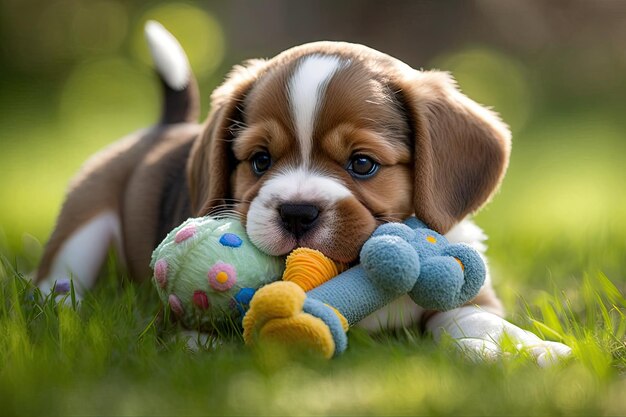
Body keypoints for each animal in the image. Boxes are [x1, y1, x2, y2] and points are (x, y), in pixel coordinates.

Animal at [36, 21, 568, 362]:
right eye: (260, 161)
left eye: (362, 164)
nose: (295, 212)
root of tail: (164, 127)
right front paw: (201, 346)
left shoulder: (472, 297)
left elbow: (476, 322)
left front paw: (529, 350)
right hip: (82, 227)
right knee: (53, 282)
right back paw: (64, 314)